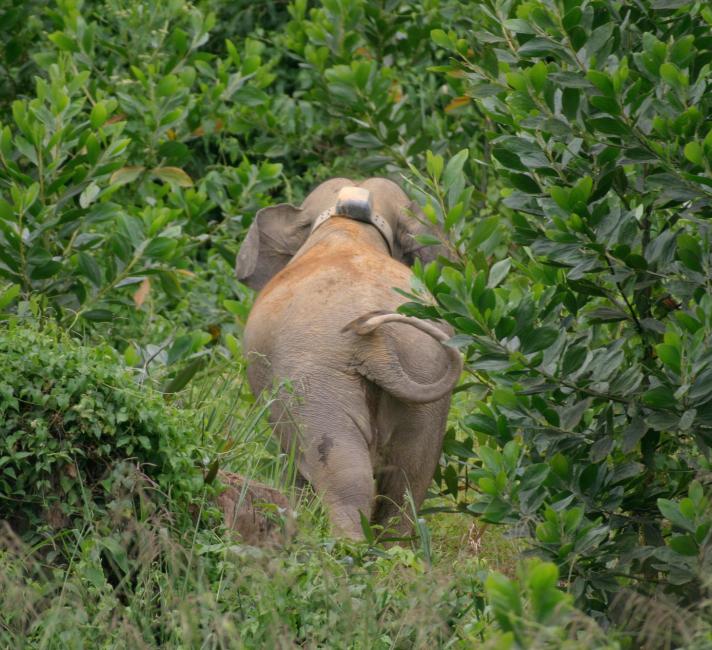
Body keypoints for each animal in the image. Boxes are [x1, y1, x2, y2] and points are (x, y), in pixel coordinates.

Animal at [234, 176, 462, 536]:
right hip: (424, 370)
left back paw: (343, 544)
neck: (349, 227)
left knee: (343, 473)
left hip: (316, 382)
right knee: (409, 479)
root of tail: (379, 349)